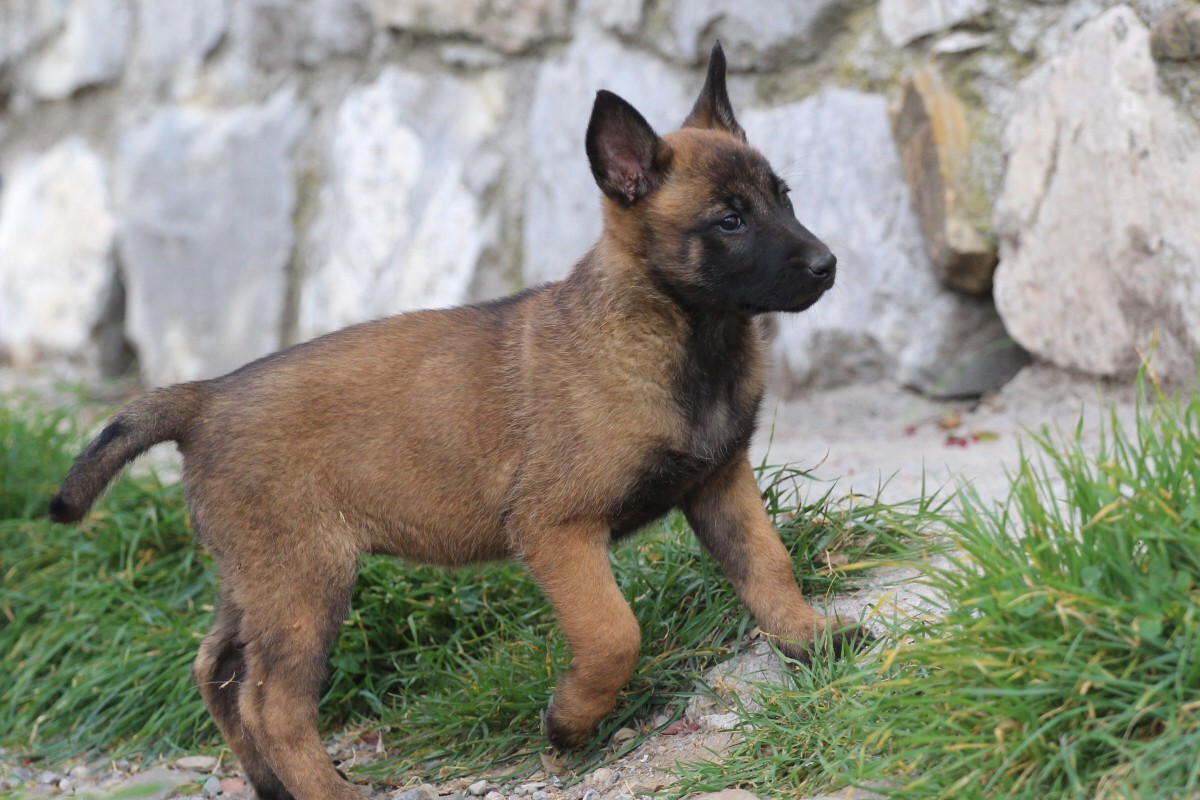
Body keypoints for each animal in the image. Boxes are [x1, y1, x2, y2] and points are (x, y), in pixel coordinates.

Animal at [51, 42, 849, 800]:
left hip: (255, 576)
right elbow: (613, 633)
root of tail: (206, 395)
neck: (684, 334)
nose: (828, 265)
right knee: (271, 704)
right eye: (729, 220)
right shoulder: (557, 528)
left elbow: (768, 566)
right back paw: (327, 791)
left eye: (782, 198)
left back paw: (270, 784)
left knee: (216, 669)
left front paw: (810, 639)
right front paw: (570, 721)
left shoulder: (719, 484)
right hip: (304, 580)